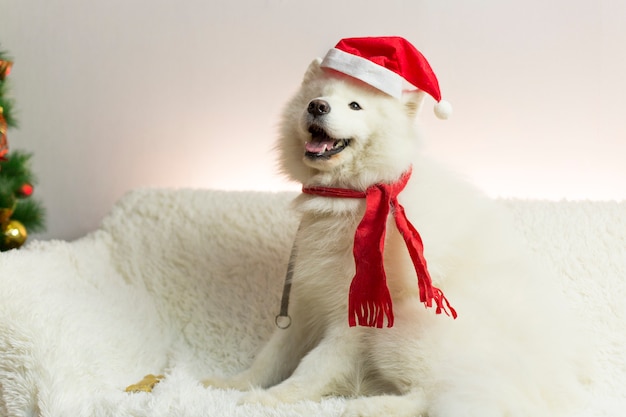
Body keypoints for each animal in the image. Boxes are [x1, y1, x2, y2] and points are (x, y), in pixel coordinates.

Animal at [205, 36, 584, 416]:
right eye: (319, 95)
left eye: (355, 105)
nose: (316, 106)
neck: (355, 196)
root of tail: (537, 391)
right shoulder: (305, 297)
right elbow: (272, 355)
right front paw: (233, 384)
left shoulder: (357, 316)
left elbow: (314, 366)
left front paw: (268, 399)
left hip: (408, 324)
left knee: (430, 395)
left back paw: (365, 407)